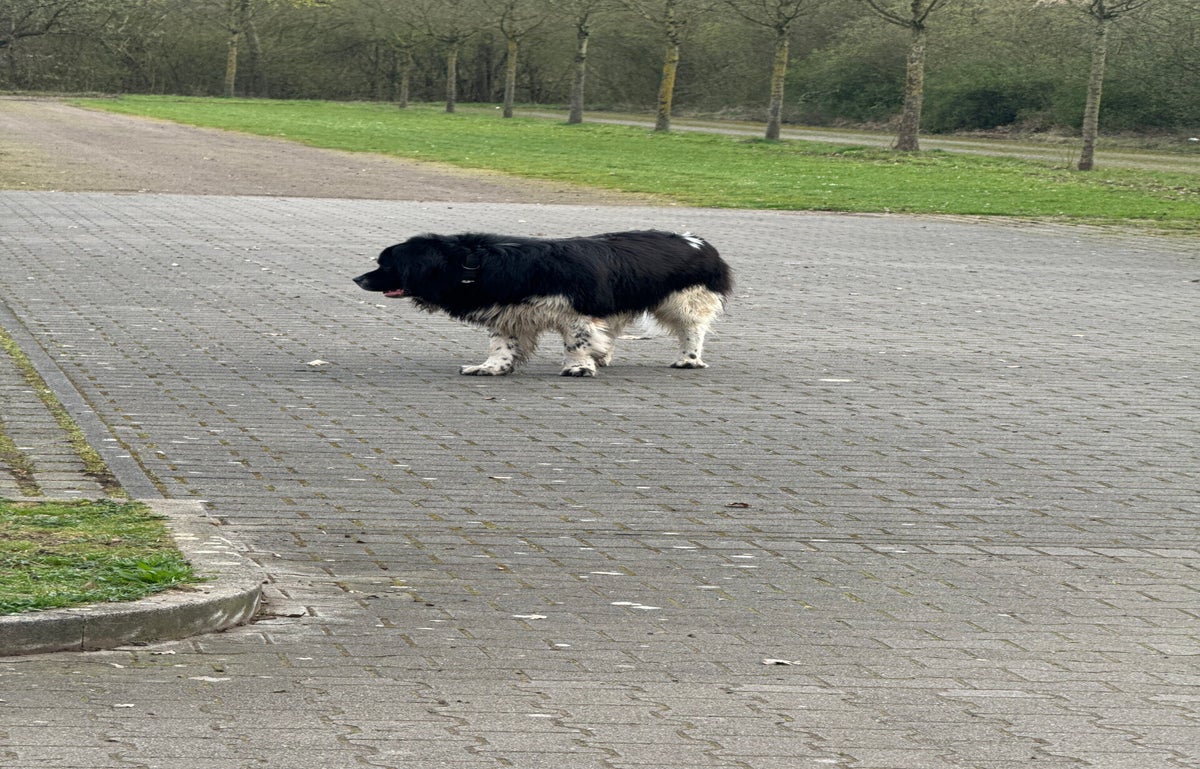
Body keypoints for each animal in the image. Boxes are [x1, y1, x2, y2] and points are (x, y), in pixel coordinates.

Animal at [354, 230, 732, 376]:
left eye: (386, 265)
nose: (357, 279)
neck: (473, 265)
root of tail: (699, 241)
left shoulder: (578, 312)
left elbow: (576, 342)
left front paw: (578, 367)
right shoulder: (511, 314)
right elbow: (501, 346)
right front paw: (492, 367)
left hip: (684, 300)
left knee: (692, 330)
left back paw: (688, 359)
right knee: (612, 331)